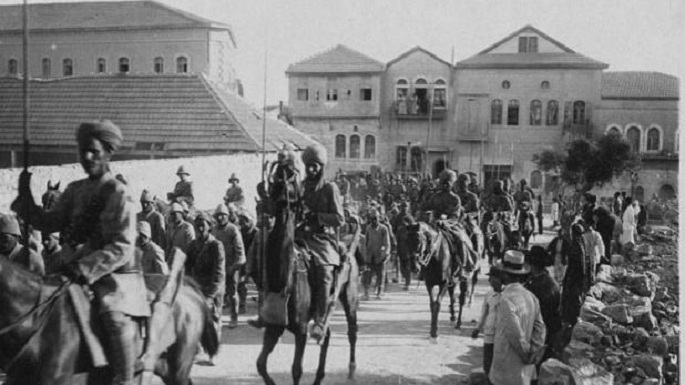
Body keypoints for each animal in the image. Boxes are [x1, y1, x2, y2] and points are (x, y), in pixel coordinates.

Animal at [255, 163, 360, 384]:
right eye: (274, 182)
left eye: (292, 180)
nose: (283, 174)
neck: (284, 279)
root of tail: (345, 247)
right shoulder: (273, 327)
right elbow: (260, 364)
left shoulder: (301, 329)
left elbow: (296, 370)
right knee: (326, 334)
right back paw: (319, 375)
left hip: (350, 295)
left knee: (352, 330)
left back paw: (351, 369)